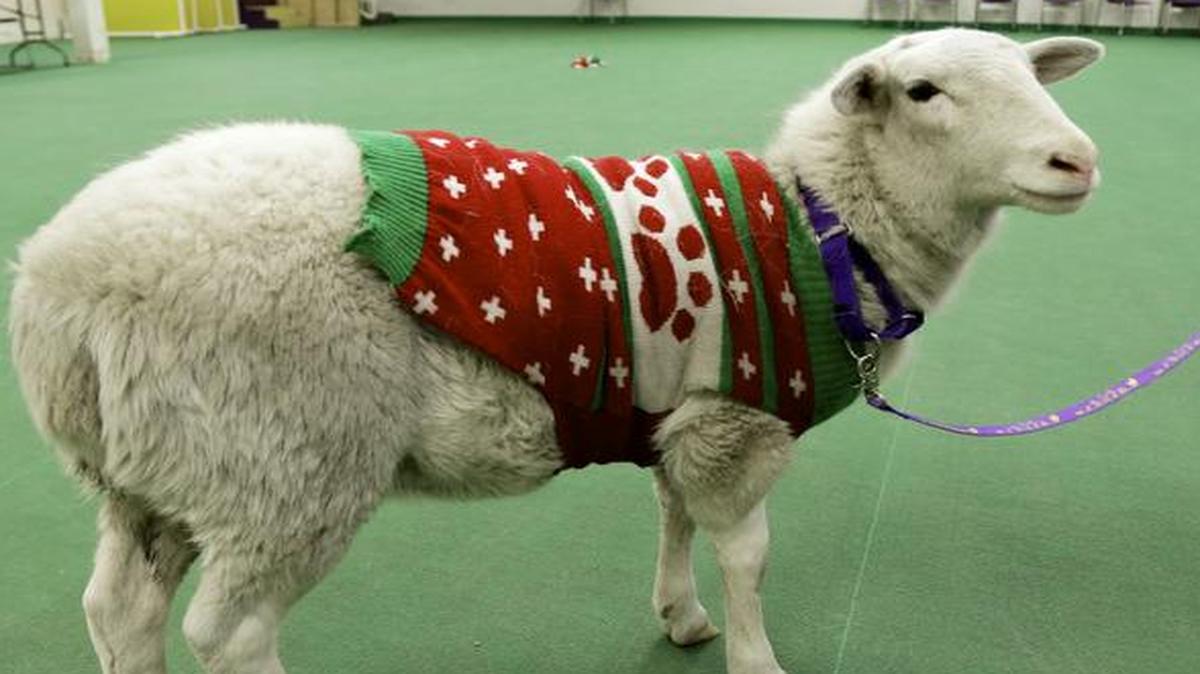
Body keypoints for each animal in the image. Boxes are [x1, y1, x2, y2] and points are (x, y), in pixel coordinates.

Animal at [8, 28, 1103, 674]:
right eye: (923, 91)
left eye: (1030, 75)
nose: (1078, 160)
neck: (827, 223)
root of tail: (57, 285)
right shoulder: (736, 423)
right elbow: (748, 553)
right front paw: (754, 656)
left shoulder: (681, 414)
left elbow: (672, 517)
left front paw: (680, 615)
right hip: (285, 454)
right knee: (230, 633)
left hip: (161, 466)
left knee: (119, 608)